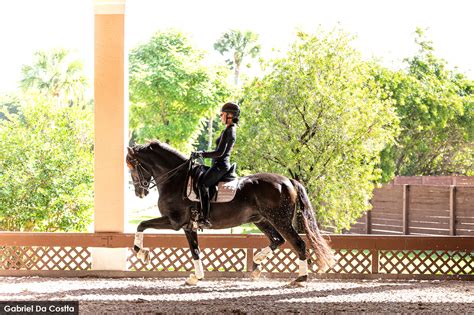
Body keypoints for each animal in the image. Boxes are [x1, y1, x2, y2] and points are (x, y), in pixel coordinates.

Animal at [126, 141, 334, 286]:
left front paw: (141, 253)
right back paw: (257, 263)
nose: (139, 192)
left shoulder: (174, 221)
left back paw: (300, 278)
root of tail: (288, 180)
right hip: (262, 220)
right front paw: (196, 277)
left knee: (298, 243)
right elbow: (195, 251)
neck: (176, 180)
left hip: (280, 220)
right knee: (277, 240)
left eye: (132, 167)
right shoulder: (187, 226)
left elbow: (141, 225)